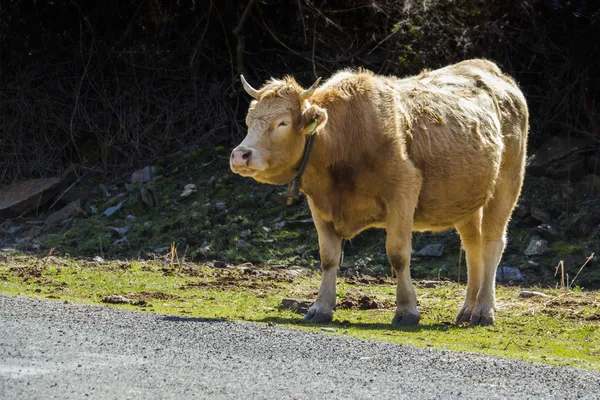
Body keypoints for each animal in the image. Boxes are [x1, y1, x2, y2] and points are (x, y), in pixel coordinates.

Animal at [227, 60, 528, 328]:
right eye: (249, 121)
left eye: (282, 123)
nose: (240, 155)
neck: (344, 139)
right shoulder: (319, 203)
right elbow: (328, 257)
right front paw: (320, 307)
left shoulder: (403, 192)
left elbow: (398, 254)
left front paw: (407, 311)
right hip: (467, 199)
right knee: (472, 246)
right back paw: (467, 309)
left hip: (506, 184)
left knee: (491, 243)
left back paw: (484, 311)